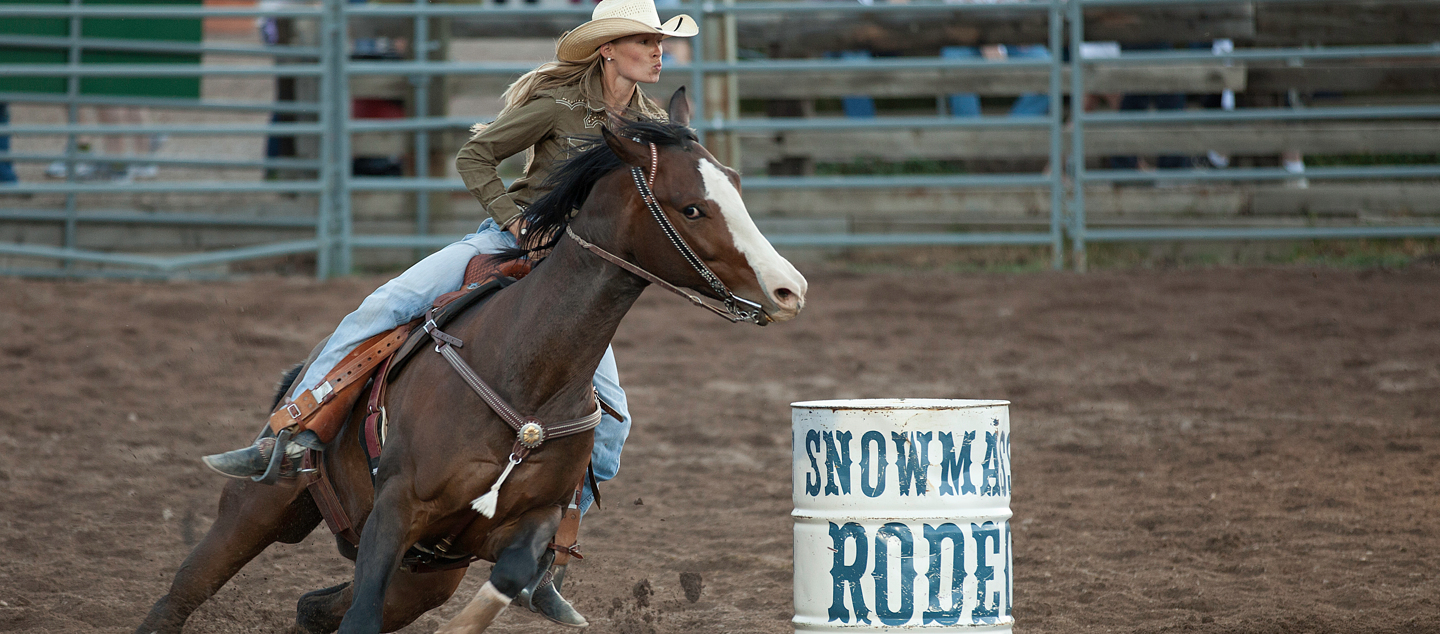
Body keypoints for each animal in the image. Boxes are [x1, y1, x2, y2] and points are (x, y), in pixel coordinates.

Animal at [135, 89, 812, 634]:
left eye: (736, 184)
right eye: (691, 206)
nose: (790, 289)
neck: (526, 371)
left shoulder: (528, 523)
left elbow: (511, 575)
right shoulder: (397, 507)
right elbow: (361, 617)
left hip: (425, 576)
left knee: (315, 609)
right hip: (258, 509)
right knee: (183, 595)